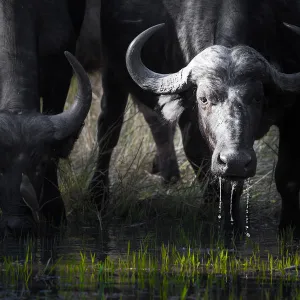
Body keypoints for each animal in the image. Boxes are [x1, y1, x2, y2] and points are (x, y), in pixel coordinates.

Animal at [88, 0, 300, 231]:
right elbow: (215, 184)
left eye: (257, 98)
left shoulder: (292, 115)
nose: (234, 161)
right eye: (203, 99)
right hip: (111, 73)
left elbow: (287, 179)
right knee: (108, 129)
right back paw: (98, 195)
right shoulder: (191, 128)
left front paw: (285, 229)